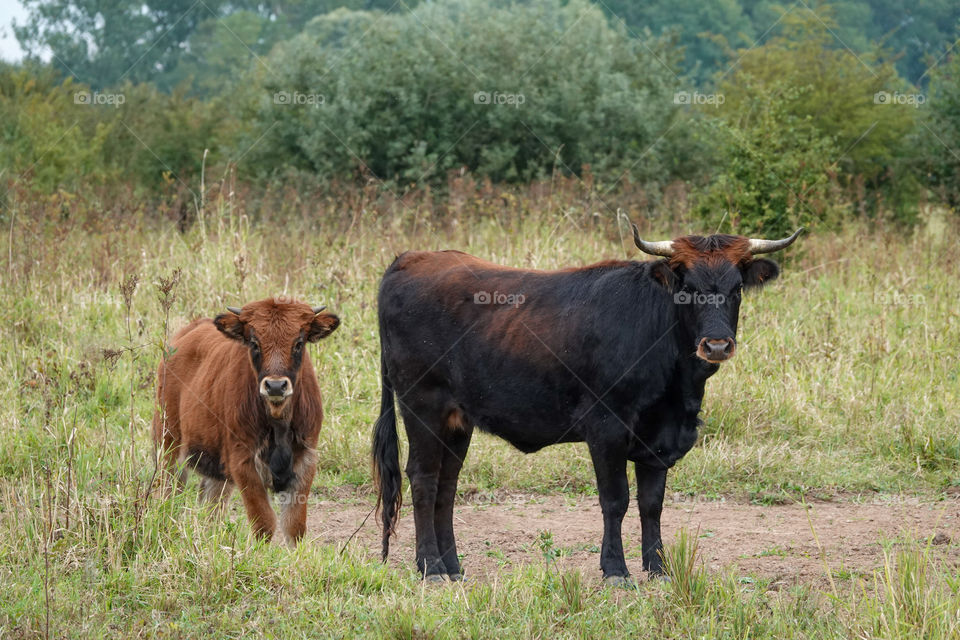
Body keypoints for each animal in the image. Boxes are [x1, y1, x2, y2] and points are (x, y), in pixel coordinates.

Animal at [154, 298, 342, 544]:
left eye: (299, 343)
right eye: (254, 343)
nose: (275, 386)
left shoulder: (305, 460)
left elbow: (294, 526)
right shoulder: (243, 462)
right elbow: (264, 523)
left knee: (211, 503)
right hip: (169, 445)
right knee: (168, 490)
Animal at [374, 228, 804, 584]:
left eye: (737, 288)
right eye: (688, 287)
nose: (716, 345)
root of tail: (411, 258)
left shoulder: (658, 439)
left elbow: (652, 505)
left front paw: (659, 568)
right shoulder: (606, 428)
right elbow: (615, 500)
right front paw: (615, 569)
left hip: (456, 421)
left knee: (447, 486)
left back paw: (453, 566)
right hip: (422, 406)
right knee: (424, 479)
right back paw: (431, 568)